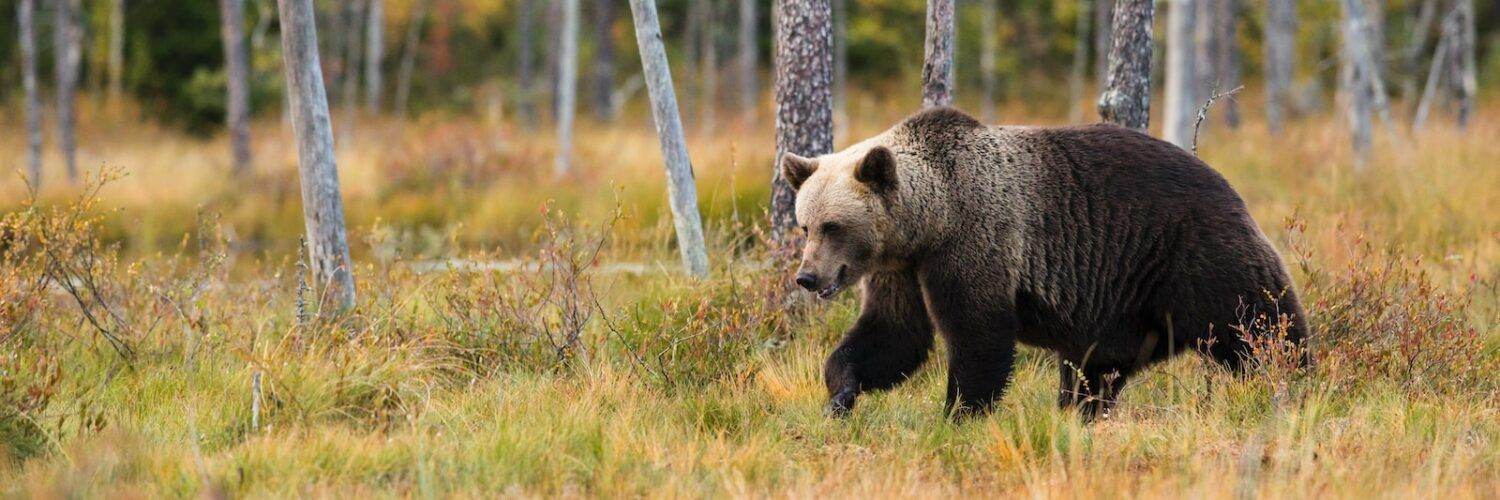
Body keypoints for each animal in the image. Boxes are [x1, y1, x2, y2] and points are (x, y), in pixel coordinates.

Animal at [780, 107, 1308, 417]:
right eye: (805, 225)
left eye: (833, 226)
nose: (807, 276)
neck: (930, 221)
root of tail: (1227, 183)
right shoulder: (901, 269)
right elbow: (893, 335)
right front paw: (840, 393)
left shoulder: (976, 241)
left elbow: (978, 336)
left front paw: (959, 413)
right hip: (1122, 305)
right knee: (1096, 369)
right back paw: (1082, 411)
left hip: (1191, 252)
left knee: (1258, 322)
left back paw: (1293, 380)